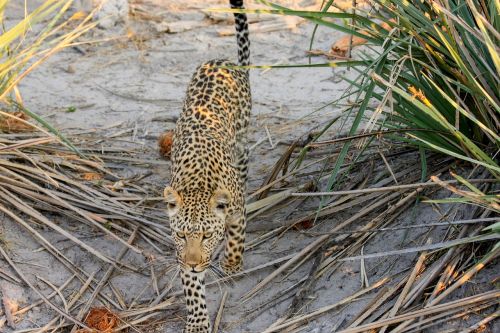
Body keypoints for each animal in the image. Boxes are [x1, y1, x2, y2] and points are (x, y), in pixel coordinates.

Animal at [162, 1, 252, 330]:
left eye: (206, 235)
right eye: (180, 235)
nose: (194, 263)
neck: (200, 183)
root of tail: (223, 60)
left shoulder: (236, 210)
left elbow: (236, 235)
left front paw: (232, 264)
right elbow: (191, 288)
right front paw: (198, 320)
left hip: (242, 139)